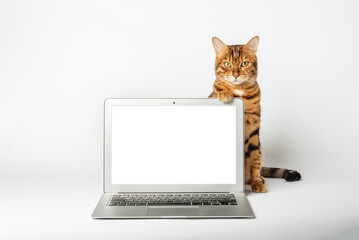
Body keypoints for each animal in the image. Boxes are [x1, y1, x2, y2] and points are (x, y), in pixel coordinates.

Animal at [210, 36, 302, 193]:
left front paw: (257, 182)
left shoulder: (253, 131)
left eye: (244, 63)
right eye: (227, 64)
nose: (235, 75)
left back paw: (260, 178)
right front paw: (225, 94)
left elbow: (254, 161)